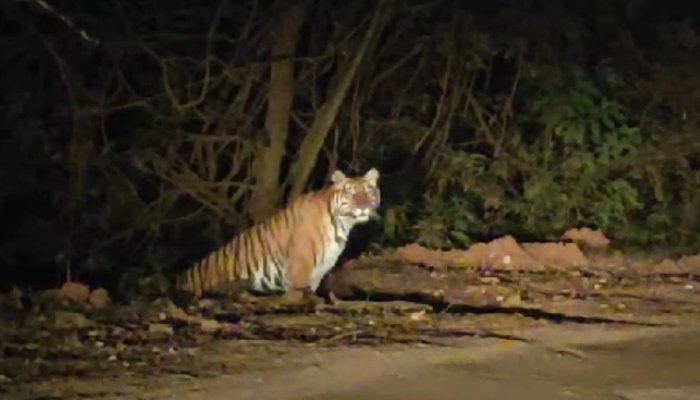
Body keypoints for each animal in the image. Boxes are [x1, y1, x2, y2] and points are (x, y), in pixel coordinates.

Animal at [175, 167, 382, 302]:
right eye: (351, 193)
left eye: (369, 190)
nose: (364, 206)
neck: (342, 224)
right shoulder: (300, 268)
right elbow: (296, 296)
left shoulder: (318, 273)